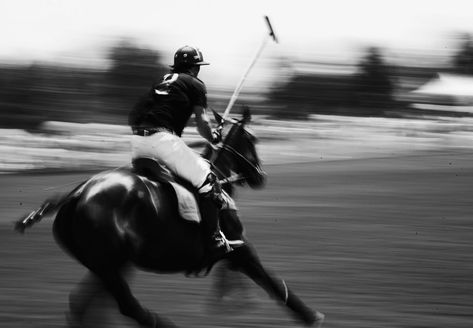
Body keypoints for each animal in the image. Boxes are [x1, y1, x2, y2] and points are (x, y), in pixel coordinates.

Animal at [15, 109, 324, 326]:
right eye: (251, 139)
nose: (261, 176)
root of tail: (76, 194)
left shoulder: (234, 253)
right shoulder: (239, 248)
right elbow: (272, 282)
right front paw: (311, 316)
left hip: (106, 263)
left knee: (84, 305)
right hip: (110, 261)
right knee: (126, 306)